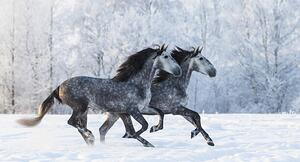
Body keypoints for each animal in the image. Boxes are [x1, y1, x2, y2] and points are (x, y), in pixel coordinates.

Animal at [17, 44, 182, 147]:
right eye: (166, 57)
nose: (178, 71)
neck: (136, 84)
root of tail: (59, 87)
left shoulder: (138, 109)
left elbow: (160, 113)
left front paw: (154, 130)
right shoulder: (132, 110)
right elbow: (141, 127)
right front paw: (138, 137)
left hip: (84, 112)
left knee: (80, 125)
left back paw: (91, 141)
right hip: (80, 107)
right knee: (72, 122)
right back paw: (90, 136)